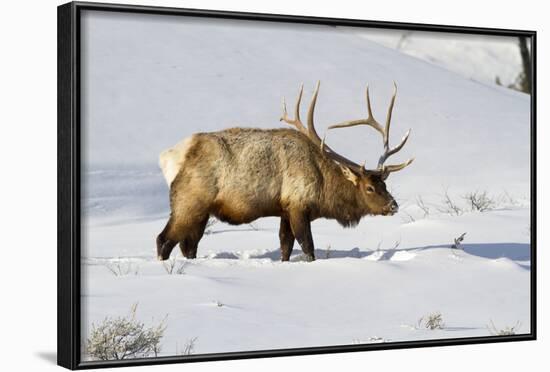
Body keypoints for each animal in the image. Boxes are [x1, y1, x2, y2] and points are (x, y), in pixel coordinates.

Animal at [155, 81, 414, 262]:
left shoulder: (284, 209)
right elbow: (308, 248)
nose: (393, 205)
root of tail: (168, 157)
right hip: (189, 200)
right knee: (164, 240)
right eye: (369, 188)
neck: (324, 189)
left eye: (384, 184)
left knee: (189, 244)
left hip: (202, 210)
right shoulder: (299, 205)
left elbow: (285, 247)